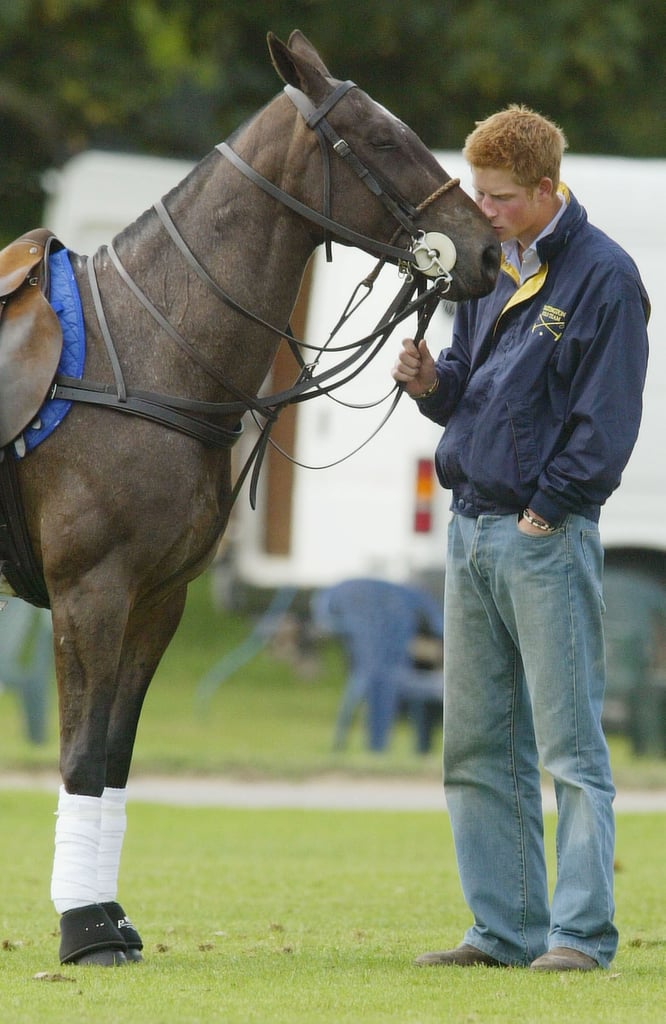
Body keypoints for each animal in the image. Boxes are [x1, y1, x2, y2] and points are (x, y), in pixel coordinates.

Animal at [0, 28, 497, 962]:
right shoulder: (91, 591)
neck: (144, 348)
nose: (488, 251)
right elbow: (80, 756)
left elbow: (114, 757)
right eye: (382, 139)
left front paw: (110, 918)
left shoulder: (158, 597)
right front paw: (84, 933)